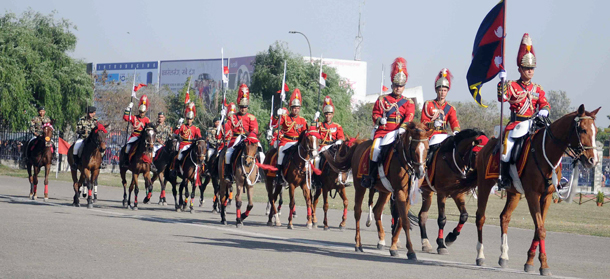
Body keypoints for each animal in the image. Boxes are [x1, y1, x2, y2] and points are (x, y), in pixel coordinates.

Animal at [326, 123, 430, 262]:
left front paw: (394, 247)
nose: (421, 173)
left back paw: (381, 240)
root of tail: (359, 144)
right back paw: (358, 244)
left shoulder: (407, 194)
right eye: (413, 149)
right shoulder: (400, 192)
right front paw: (411, 251)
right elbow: (405, 220)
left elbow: (401, 220)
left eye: (428, 149)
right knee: (358, 212)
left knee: (377, 211)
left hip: (385, 191)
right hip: (360, 186)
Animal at [470, 105, 600, 276]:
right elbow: (541, 229)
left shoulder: (547, 196)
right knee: (480, 217)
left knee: (504, 217)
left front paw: (532, 262)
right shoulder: (532, 194)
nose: (593, 160)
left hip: (514, 193)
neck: (546, 153)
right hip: (484, 184)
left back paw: (503, 256)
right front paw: (542, 265)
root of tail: (486, 146)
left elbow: (539, 229)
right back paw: (480, 256)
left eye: (596, 130)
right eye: (583, 130)